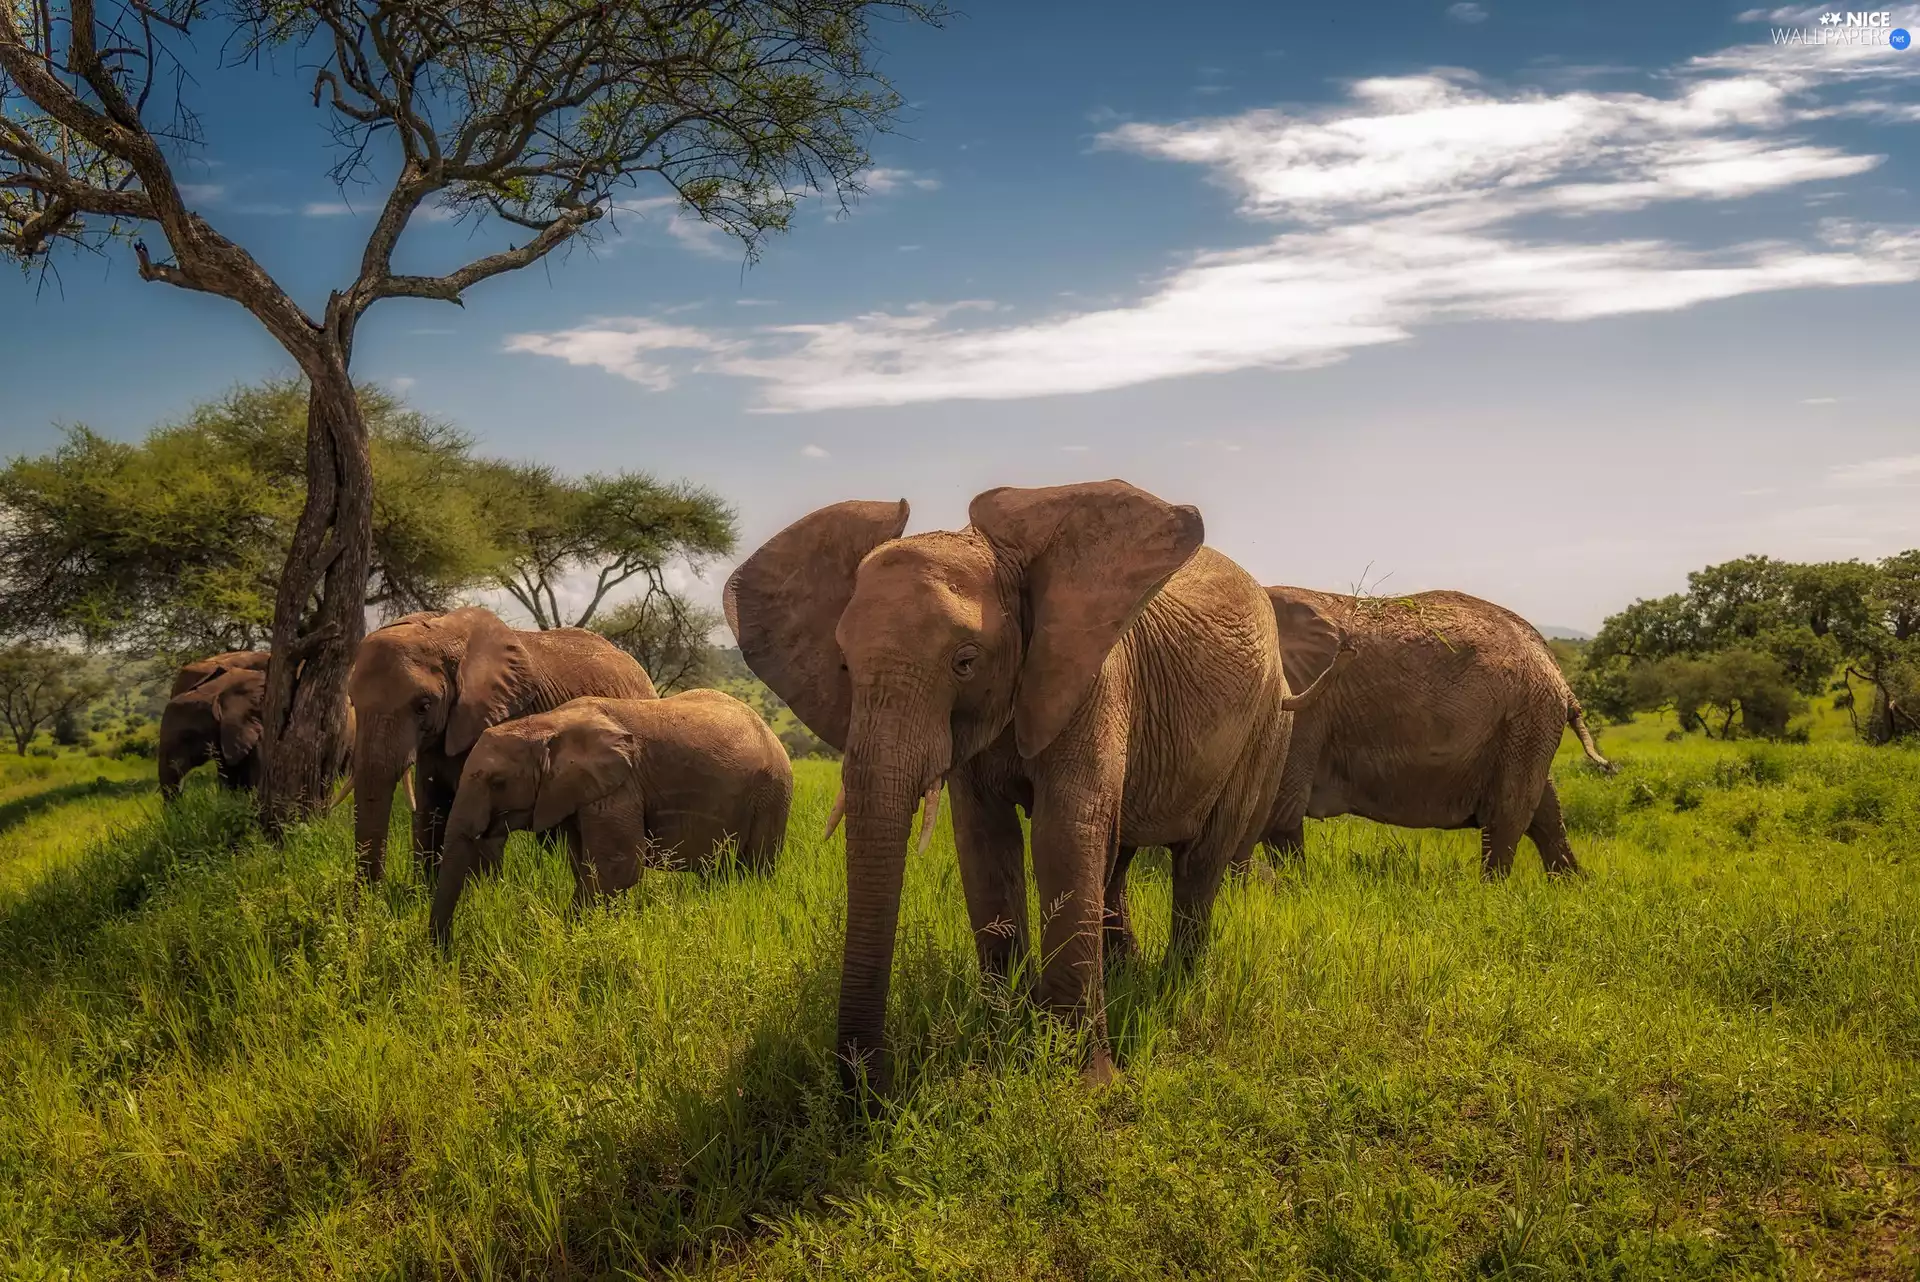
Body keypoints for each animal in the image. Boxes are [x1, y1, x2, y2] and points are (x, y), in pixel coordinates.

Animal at [348, 606, 657, 884]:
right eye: (352, 702)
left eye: (423, 706)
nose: (370, 894)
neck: (441, 633)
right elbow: (430, 808)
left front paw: (481, 893)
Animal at [429, 689, 793, 947]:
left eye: (497, 783)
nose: (444, 954)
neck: (547, 723)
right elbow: (587, 868)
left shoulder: (620, 786)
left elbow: (616, 868)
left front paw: (567, 941)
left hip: (772, 794)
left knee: (755, 869)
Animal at [726, 479, 1343, 1091]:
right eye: (845, 666)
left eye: (966, 662)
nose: (867, 1096)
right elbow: (984, 842)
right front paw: (1003, 1042)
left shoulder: (1094, 678)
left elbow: (1063, 836)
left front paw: (1084, 1081)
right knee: (1118, 857)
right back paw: (1127, 974)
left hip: (1265, 725)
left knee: (1200, 861)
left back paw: (1171, 985)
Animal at [1259, 587, 1613, 878]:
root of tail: (1557, 670)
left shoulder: (1305, 704)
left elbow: (1279, 811)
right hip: (1529, 725)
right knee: (1545, 812)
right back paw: (1573, 887)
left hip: (1527, 717)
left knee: (1506, 815)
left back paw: (1492, 895)